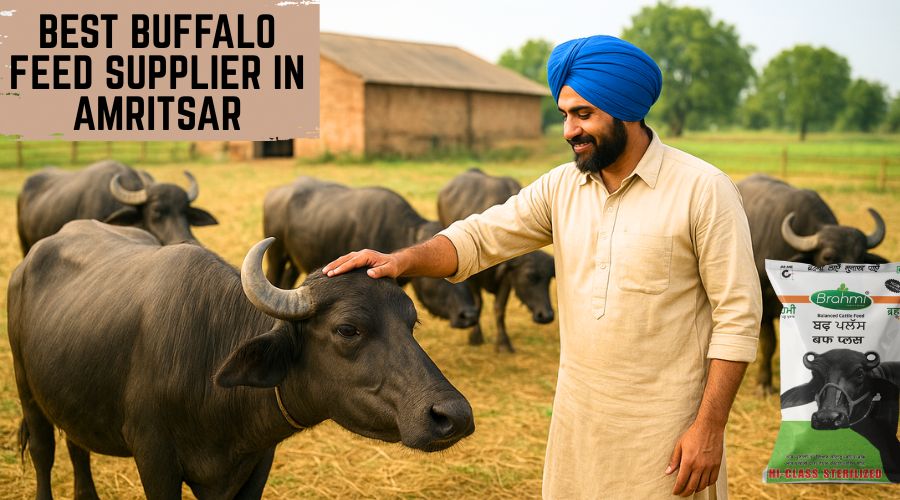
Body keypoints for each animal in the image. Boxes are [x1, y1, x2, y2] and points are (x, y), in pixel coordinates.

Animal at [8, 220, 474, 498]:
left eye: (411, 323)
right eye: (347, 329)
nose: (454, 415)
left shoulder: (255, 465)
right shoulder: (154, 459)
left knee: (77, 446)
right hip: (26, 389)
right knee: (45, 451)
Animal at [437, 168, 555, 352]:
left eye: (549, 278)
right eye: (529, 276)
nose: (547, 316)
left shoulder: (506, 278)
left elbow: (499, 309)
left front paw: (503, 343)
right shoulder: (472, 277)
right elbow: (478, 304)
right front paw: (475, 337)